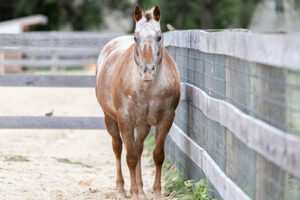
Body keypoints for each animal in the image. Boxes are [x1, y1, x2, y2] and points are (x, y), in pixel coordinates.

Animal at [96, 5, 180, 199]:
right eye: (136, 37)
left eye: (159, 36)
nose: (147, 71)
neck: (146, 88)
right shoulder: (125, 119)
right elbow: (131, 157)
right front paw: (133, 193)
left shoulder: (166, 118)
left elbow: (157, 155)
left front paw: (156, 192)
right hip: (110, 119)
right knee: (119, 148)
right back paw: (122, 188)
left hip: (143, 124)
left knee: (139, 147)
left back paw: (141, 189)